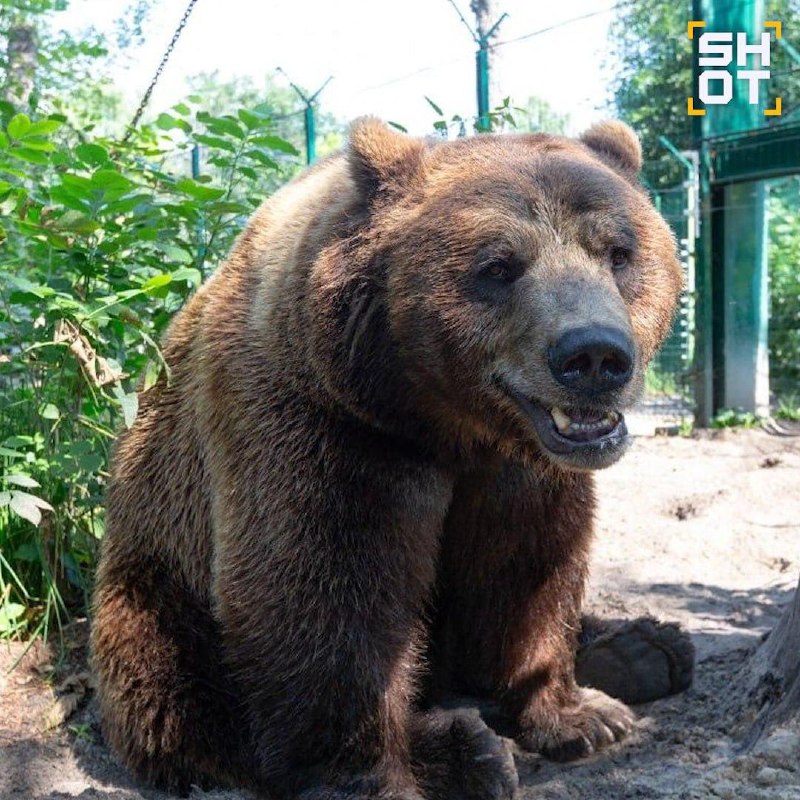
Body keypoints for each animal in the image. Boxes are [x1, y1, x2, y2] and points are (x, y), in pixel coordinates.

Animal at [90, 118, 684, 799]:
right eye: (499, 266)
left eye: (619, 252)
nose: (593, 356)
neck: (448, 421)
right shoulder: (327, 428)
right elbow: (322, 593)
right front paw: (378, 770)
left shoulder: (524, 472)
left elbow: (530, 569)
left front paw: (580, 716)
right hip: (155, 572)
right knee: (174, 684)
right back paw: (465, 749)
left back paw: (645, 651)